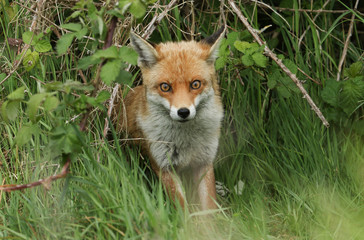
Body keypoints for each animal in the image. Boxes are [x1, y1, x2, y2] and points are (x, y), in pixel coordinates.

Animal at [116, 26, 225, 210]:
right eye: (165, 87)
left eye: (195, 84)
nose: (183, 112)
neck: (186, 141)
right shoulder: (163, 166)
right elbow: (183, 208)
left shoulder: (204, 161)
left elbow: (209, 207)